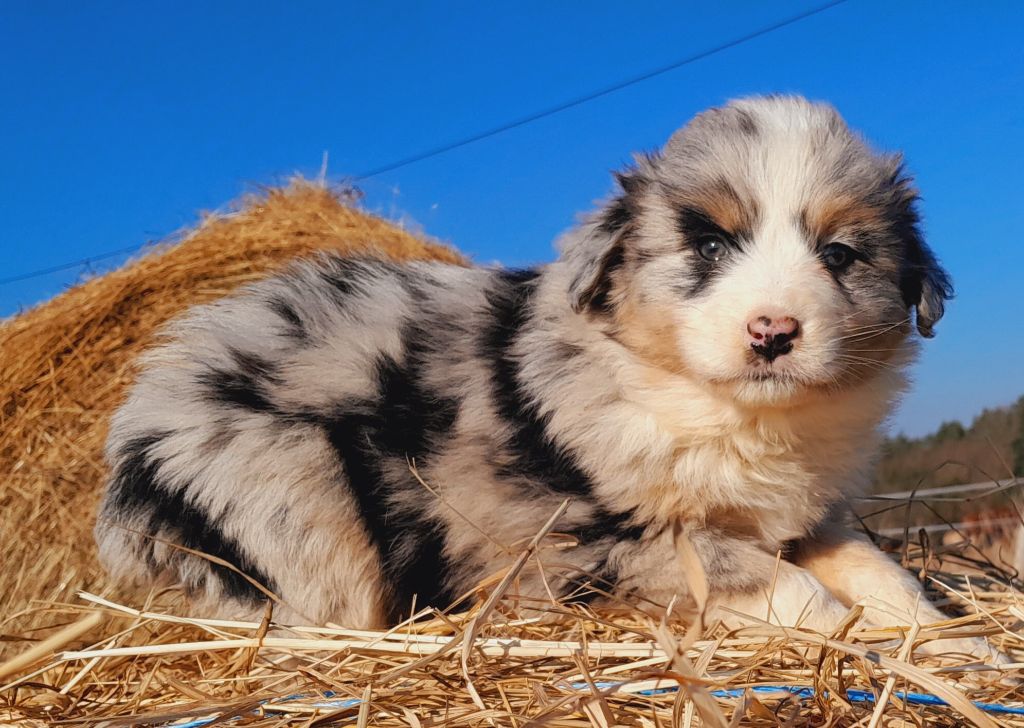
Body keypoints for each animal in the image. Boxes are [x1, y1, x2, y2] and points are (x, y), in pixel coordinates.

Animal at [96, 95, 999, 659]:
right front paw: (844, 629)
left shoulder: (810, 514)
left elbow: (877, 570)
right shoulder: (593, 539)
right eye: (709, 244)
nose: (773, 332)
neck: (729, 414)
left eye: (839, 255)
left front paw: (954, 640)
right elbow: (779, 585)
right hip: (296, 491)